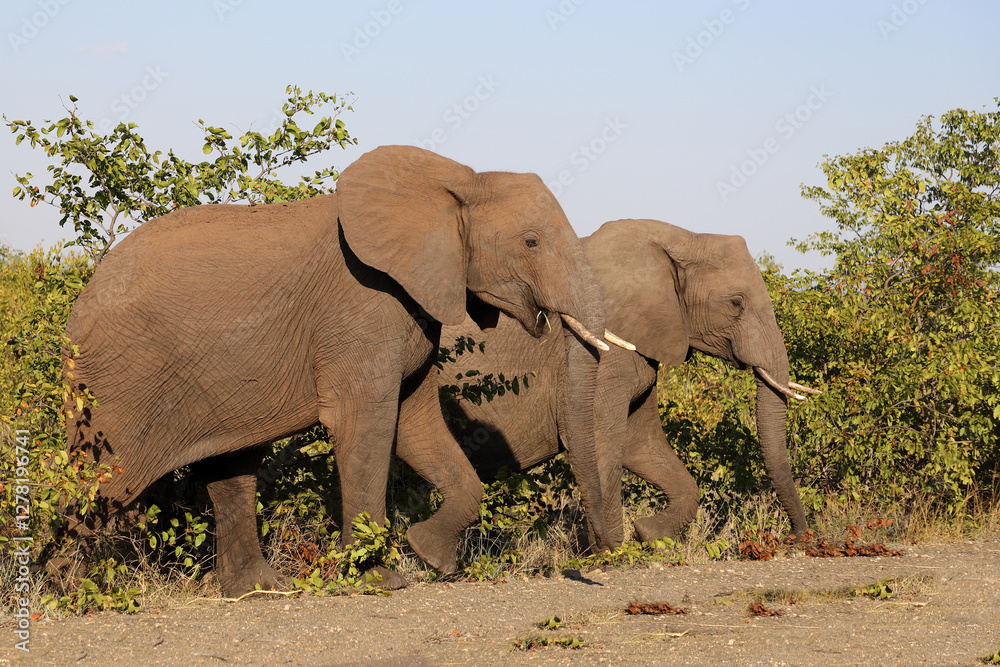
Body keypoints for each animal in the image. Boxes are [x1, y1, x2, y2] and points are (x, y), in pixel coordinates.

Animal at [61, 145, 617, 597]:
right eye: (531, 242)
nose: (604, 557)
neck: (459, 180)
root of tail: (81, 298)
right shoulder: (363, 308)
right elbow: (366, 427)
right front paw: (382, 580)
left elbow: (416, 425)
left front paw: (432, 557)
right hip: (116, 383)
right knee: (97, 484)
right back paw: (66, 592)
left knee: (230, 471)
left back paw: (259, 590)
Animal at [422, 218, 817, 547]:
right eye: (736, 303)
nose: (798, 539)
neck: (679, 238)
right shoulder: (604, 353)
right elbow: (599, 440)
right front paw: (612, 552)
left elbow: (638, 445)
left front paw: (647, 532)